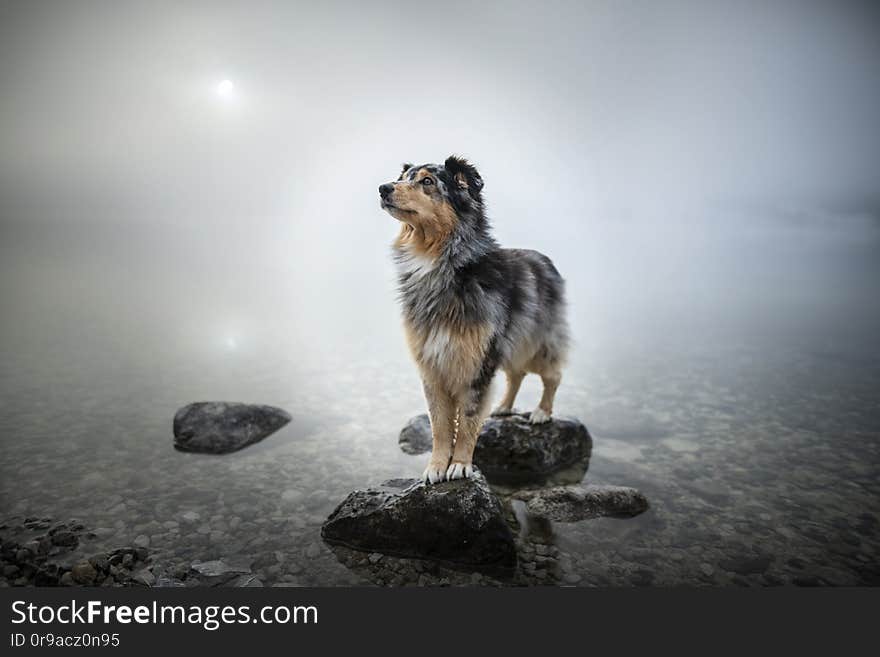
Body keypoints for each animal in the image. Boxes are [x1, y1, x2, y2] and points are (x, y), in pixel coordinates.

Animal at [378, 154, 572, 482]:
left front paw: (460, 465)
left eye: (427, 181)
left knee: (551, 375)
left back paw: (542, 412)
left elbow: (468, 420)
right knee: (516, 374)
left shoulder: (476, 364)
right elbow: (440, 425)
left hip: (537, 341)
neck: (443, 263)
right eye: (403, 177)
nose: (383, 188)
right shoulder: (432, 366)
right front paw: (436, 467)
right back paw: (504, 407)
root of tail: (546, 259)